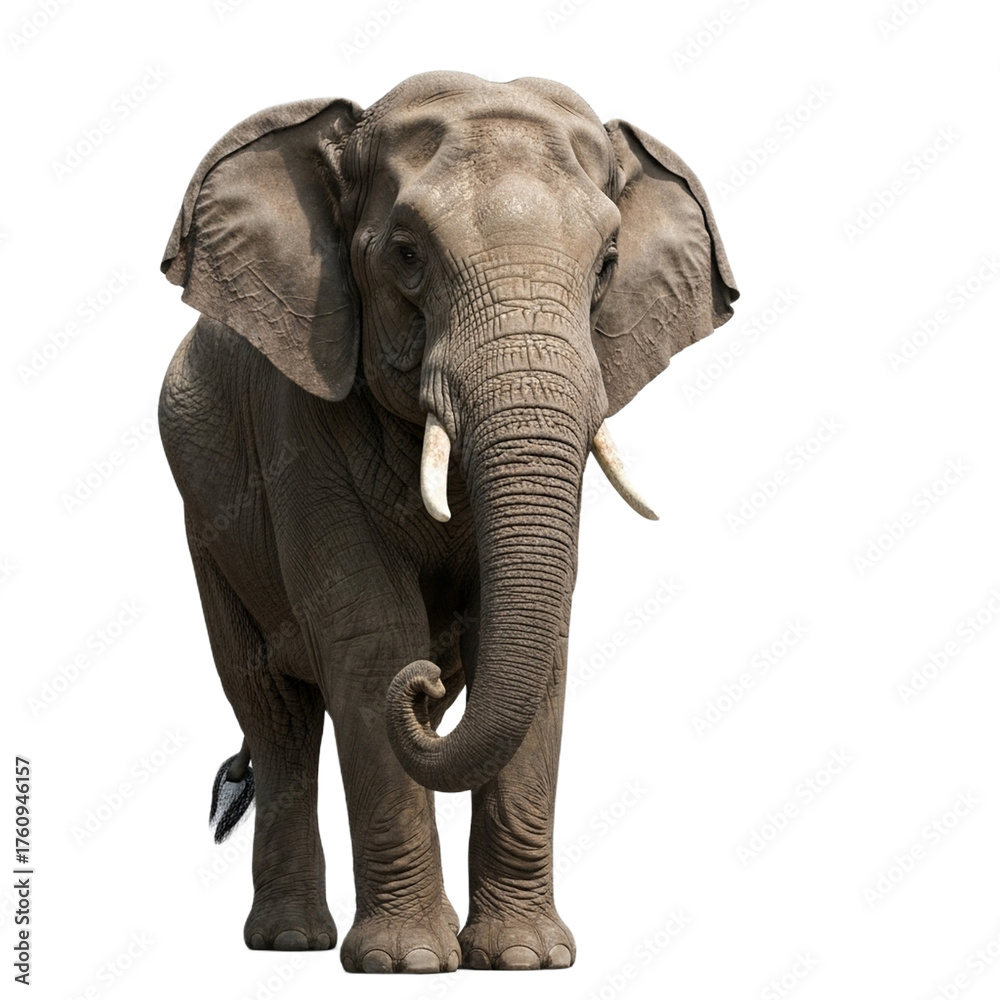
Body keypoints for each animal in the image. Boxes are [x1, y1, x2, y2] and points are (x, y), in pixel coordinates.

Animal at [158, 70, 738, 973]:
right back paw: (290, 942)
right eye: (406, 255)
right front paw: (406, 965)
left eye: (608, 263)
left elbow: (539, 646)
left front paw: (527, 960)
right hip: (205, 522)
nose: (426, 678)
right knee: (276, 713)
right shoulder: (302, 414)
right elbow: (370, 634)